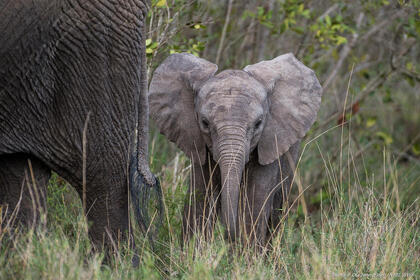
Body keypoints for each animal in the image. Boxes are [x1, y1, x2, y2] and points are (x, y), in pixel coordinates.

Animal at [149, 52, 324, 245]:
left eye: (258, 123)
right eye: (205, 123)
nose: (227, 235)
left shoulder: (269, 143)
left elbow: (254, 201)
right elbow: (201, 197)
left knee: (276, 211)